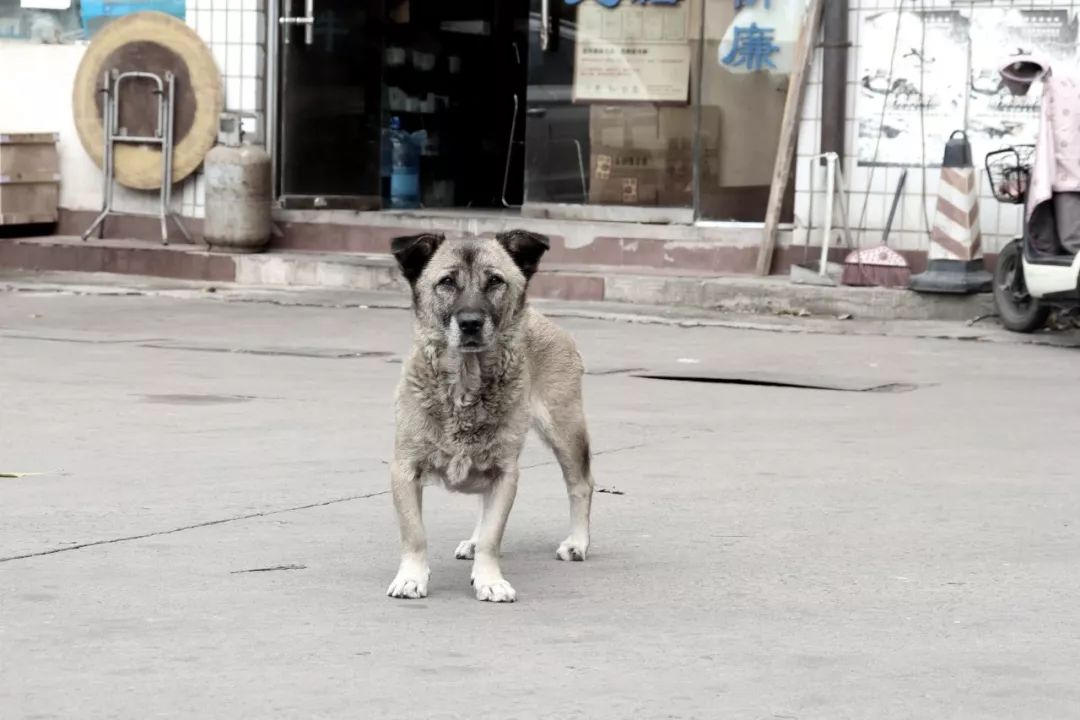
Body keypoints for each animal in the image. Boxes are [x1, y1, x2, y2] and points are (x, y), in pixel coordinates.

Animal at [386, 231, 596, 604]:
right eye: (446, 282)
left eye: (495, 281)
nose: (471, 322)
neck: (465, 385)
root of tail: (542, 318)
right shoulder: (404, 469)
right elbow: (415, 533)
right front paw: (412, 577)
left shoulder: (505, 474)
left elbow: (492, 537)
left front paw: (489, 579)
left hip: (564, 427)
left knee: (581, 484)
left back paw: (577, 542)